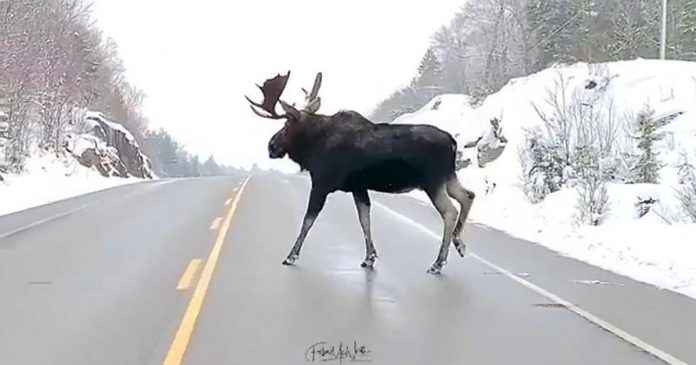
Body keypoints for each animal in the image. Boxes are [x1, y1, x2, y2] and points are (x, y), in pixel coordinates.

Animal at [242, 71, 476, 272]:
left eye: (286, 124)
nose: (271, 146)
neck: (313, 146)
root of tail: (453, 142)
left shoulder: (322, 183)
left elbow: (308, 220)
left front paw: (291, 256)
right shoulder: (358, 187)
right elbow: (364, 219)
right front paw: (369, 257)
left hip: (432, 181)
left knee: (450, 211)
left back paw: (438, 262)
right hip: (448, 177)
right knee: (468, 195)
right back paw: (459, 244)